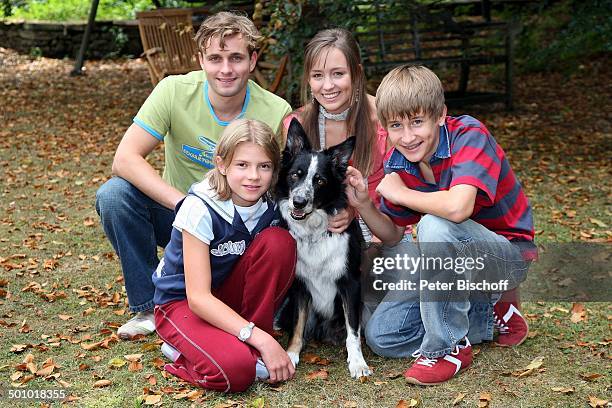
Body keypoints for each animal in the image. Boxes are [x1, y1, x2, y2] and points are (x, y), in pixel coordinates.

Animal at [278, 118, 372, 380]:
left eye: (320, 180)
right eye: (295, 175)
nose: (299, 202)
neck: (314, 232)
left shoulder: (350, 283)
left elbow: (353, 331)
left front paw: (357, 362)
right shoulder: (299, 285)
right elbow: (298, 325)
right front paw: (291, 354)